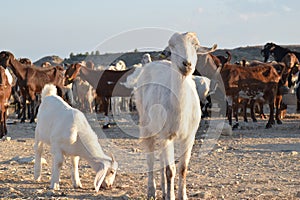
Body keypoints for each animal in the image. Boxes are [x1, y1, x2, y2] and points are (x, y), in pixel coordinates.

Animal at [135, 32, 203, 199]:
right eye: (172, 47)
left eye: (196, 46)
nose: (187, 64)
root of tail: (150, 63)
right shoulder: (167, 135)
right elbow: (170, 170)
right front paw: (171, 196)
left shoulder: (189, 136)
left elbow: (182, 168)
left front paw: (181, 195)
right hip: (147, 125)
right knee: (151, 160)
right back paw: (152, 191)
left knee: (161, 160)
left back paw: (164, 189)